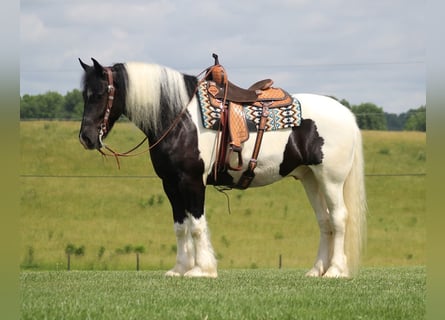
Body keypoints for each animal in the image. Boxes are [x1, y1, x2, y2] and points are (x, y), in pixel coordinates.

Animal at [78, 57, 366, 278]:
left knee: (338, 218)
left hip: (330, 179)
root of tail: (347, 114)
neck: (179, 118)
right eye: (84, 95)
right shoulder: (170, 184)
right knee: (324, 220)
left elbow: (196, 225)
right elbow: (180, 226)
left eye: (101, 93)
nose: (86, 138)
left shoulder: (192, 181)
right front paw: (179, 269)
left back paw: (335, 271)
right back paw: (316, 270)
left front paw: (200, 270)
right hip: (310, 179)